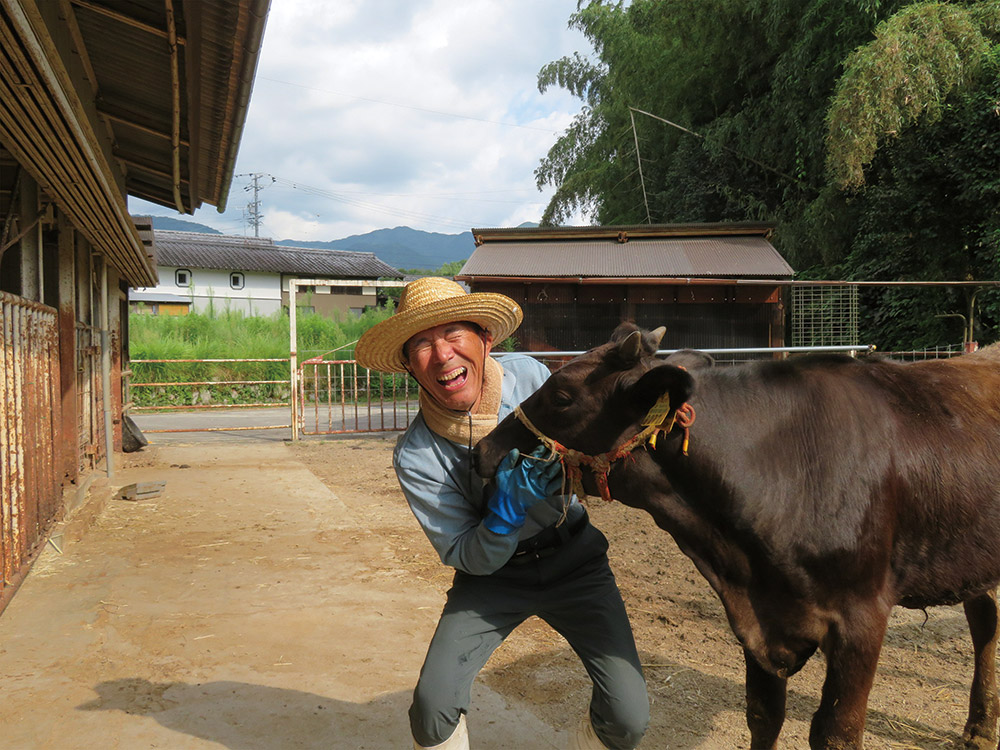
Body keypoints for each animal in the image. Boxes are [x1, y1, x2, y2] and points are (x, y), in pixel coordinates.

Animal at [472, 324, 1000, 750]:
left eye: (562, 396)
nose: (482, 450)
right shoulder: (757, 619)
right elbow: (763, 717)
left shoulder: (863, 616)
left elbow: (836, 733)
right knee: (985, 620)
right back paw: (980, 727)